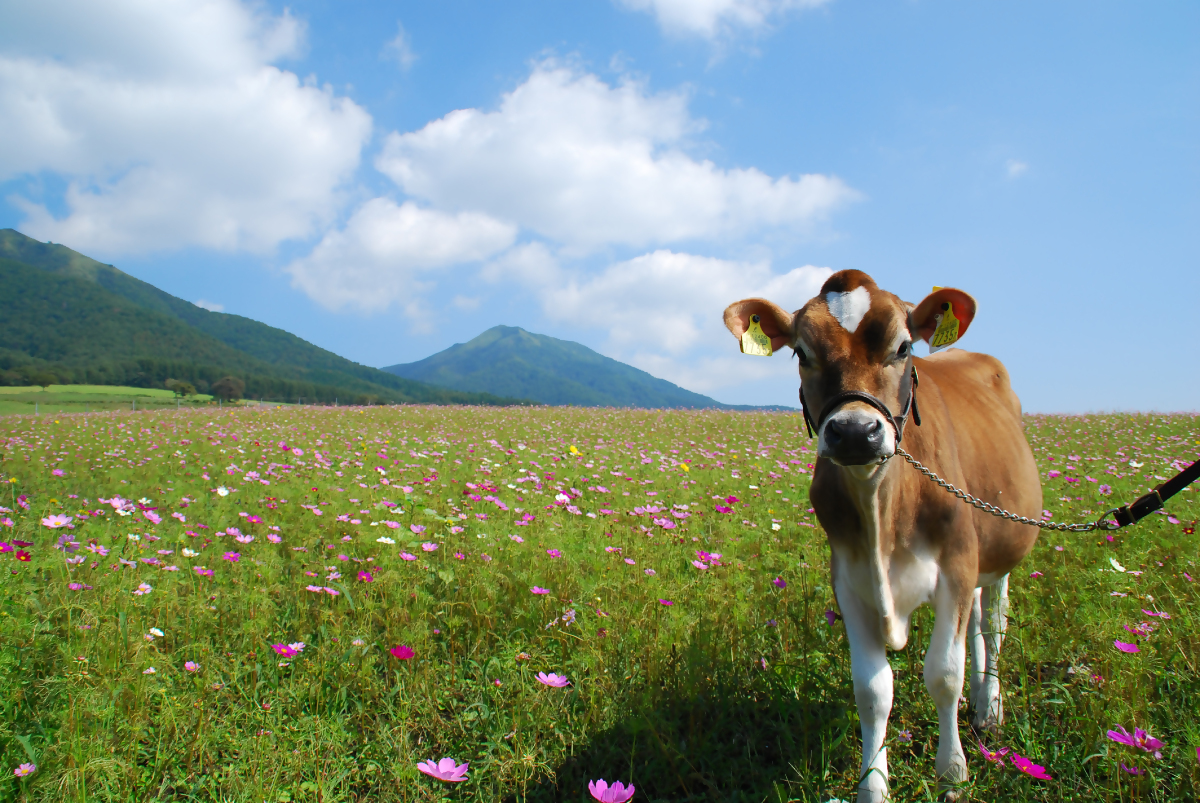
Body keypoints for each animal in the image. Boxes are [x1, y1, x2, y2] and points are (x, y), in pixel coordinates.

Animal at [723, 270, 1042, 802]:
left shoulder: (957, 564)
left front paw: (951, 770)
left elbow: (944, 673)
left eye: (903, 347)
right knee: (979, 626)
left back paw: (990, 706)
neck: (882, 514)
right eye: (802, 353)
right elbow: (873, 690)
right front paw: (873, 785)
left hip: (1000, 550)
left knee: (993, 626)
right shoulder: (849, 580)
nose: (855, 432)